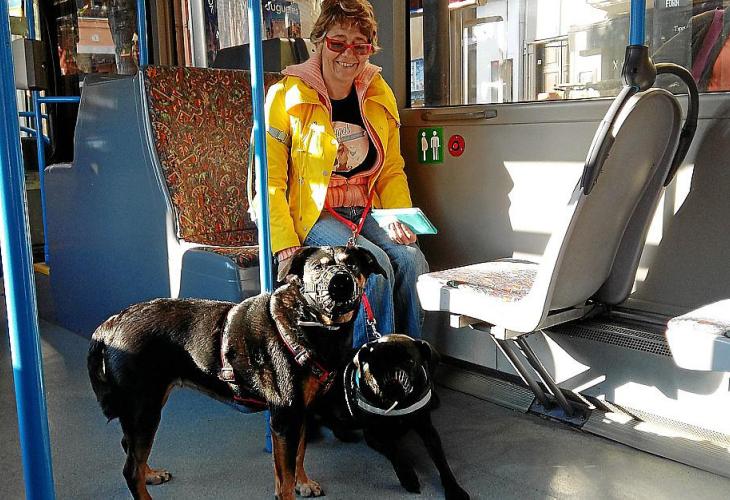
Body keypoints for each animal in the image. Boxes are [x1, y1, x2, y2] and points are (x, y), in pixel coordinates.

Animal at [87, 245, 385, 500]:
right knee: (130, 468)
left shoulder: (301, 411)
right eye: (318, 267)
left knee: (130, 450)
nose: (340, 282)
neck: (311, 324)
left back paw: (150, 474)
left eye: (353, 265)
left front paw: (303, 482)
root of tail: (110, 325)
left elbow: (299, 453)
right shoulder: (284, 417)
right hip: (143, 408)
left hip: (145, 407)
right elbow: (285, 476)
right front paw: (293, 487)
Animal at [313, 334, 470, 500]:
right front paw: (408, 477)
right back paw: (341, 431)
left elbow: (442, 461)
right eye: (378, 363)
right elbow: (396, 452)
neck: (399, 405)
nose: (393, 385)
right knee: (323, 415)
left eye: (410, 361)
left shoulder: (428, 430)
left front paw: (454, 488)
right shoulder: (374, 435)